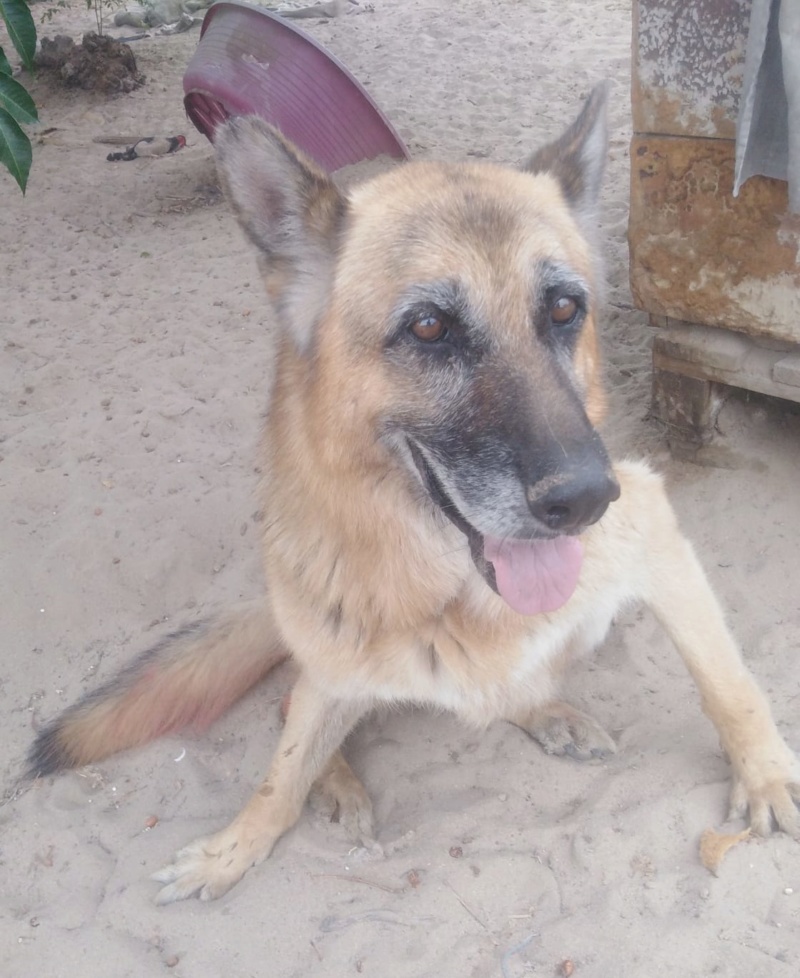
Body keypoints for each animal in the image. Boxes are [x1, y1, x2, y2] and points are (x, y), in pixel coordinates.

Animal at [26, 84, 800, 900]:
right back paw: (336, 780)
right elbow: (279, 777)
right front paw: (235, 846)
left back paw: (546, 713)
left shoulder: (654, 532)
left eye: (564, 309)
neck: (460, 590)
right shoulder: (337, 668)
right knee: (293, 704)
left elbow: (728, 680)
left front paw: (766, 774)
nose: (588, 501)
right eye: (429, 326)